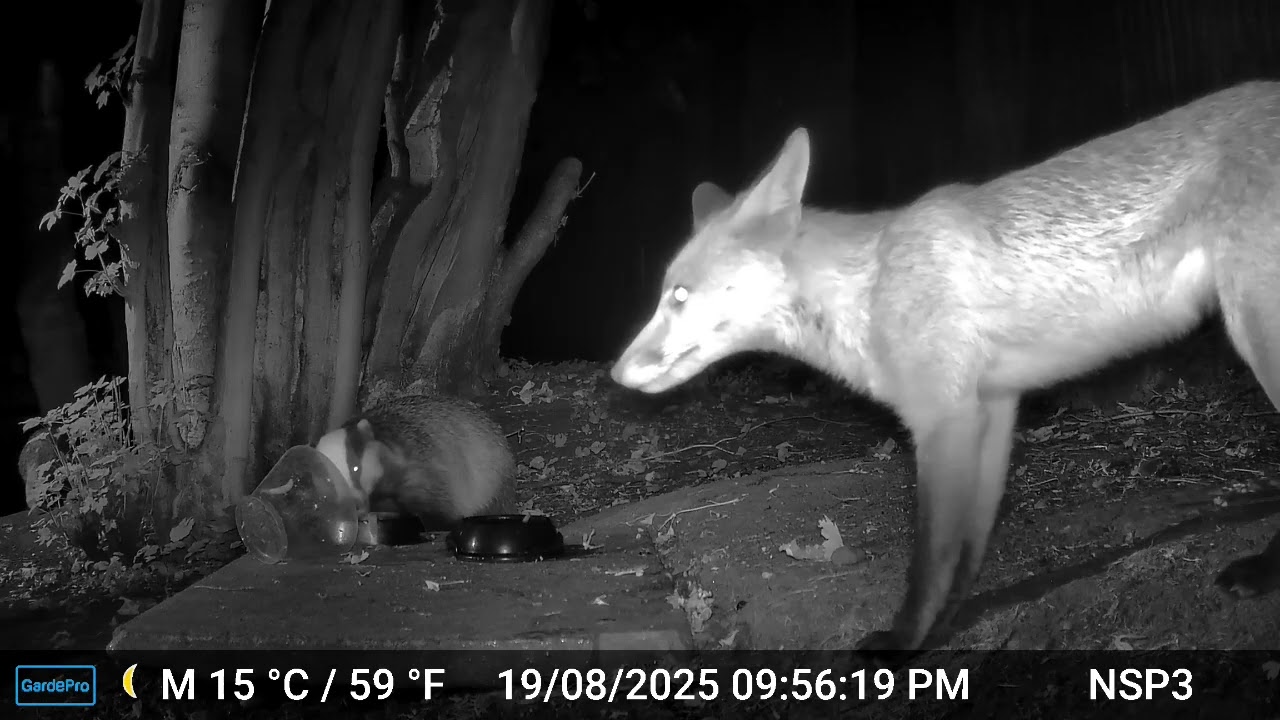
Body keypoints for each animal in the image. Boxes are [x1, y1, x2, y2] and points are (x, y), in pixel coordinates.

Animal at [610, 80, 1280, 654]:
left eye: (678, 295)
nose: (616, 374)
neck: (870, 288)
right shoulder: (993, 407)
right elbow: (968, 550)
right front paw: (952, 627)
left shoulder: (942, 420)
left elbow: (930, 559)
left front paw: (904, 643)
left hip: (1257, 332)